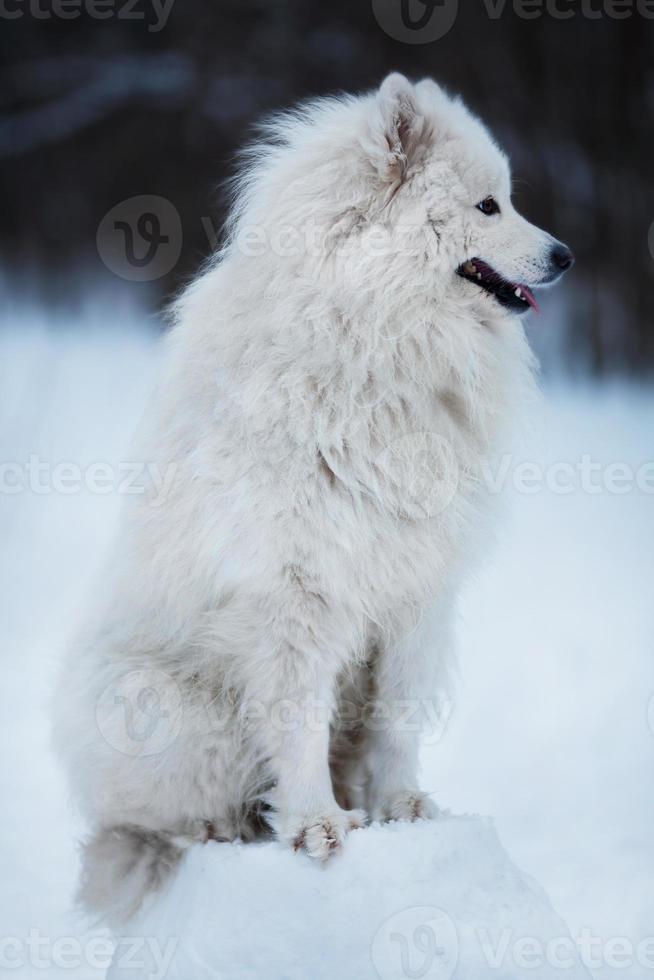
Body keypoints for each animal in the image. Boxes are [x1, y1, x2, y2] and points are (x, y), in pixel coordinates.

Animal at [53, 72, 576, 924]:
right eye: (487, 206)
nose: (566, 255)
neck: (378, 339)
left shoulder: (414, 592)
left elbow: (397, 719)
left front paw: (400, 807)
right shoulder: (294, 597)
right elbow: (298, 725)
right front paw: (316, 827)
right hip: (155, 704)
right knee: (154, 824)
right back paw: (226, 825)